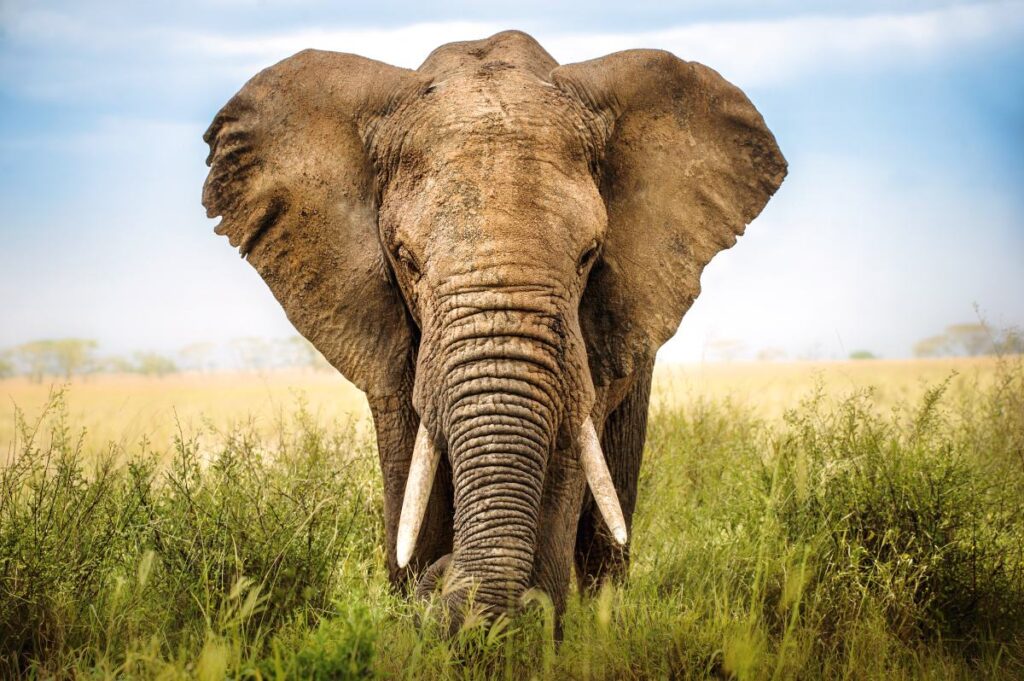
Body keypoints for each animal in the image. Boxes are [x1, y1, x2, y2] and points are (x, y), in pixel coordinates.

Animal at [202, 30, 785, 629]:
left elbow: (564, 466)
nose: (443, 578)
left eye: (589, 256)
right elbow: (411, 475)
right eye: (406, 259)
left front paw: (528, 631)